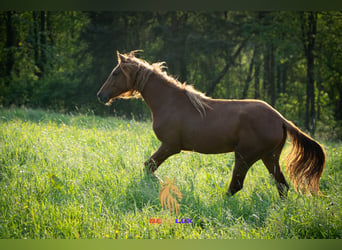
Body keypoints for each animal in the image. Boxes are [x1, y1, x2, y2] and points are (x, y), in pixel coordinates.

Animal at [97, 50, 326, 198]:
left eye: (115, 72)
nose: (101, 95)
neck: (169, 101)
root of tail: (280, 119)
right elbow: (148, 167)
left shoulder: (170, 146)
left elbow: (148, 167)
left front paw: (162, 186)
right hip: (268, 157)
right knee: (282, 186)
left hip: (245, 156)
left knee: (236, 186)